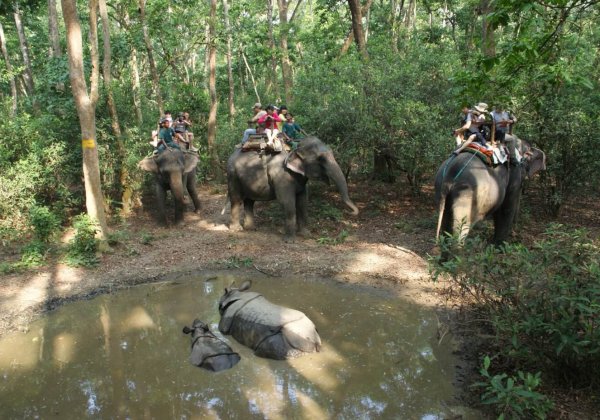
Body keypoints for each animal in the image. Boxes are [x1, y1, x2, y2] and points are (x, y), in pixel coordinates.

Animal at [225, 136, 356, 241]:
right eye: (321, 159)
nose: (353, 212)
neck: (295, 148)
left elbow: (303, 202)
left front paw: (306, 234)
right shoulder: (281, 175)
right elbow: (287, 202)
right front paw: (290, 240)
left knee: (249, 201)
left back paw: (251, 228)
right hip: (232, 175)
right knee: (236, 199)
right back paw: (237, 229)